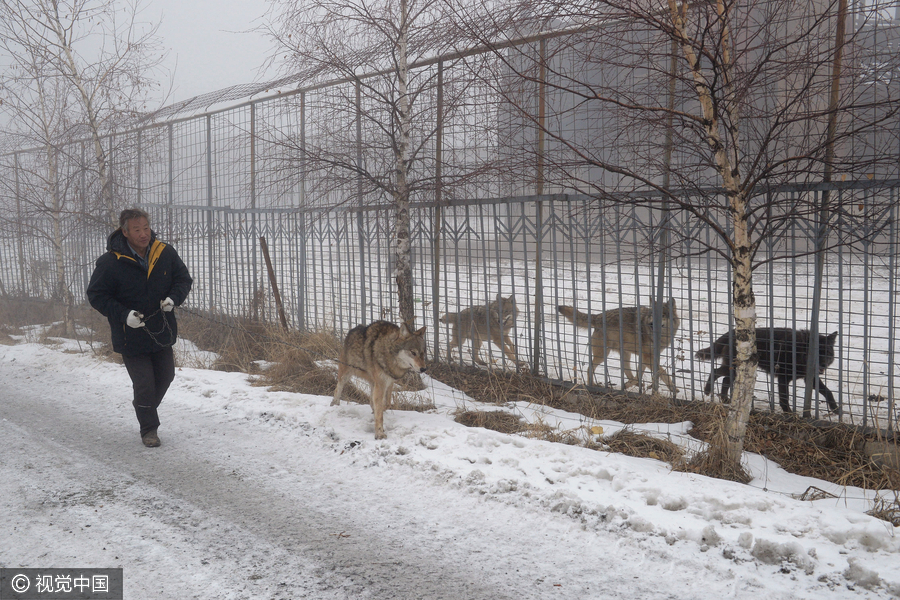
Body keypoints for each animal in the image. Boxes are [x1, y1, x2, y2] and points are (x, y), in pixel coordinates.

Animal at [556, 298, 684, 394]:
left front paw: (631, 384)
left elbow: (639, 375)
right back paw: (592, 385)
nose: (651, 324)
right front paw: (673, 388)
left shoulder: (646, 357)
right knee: (589, 368)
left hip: (625, 355)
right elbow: (663, 372)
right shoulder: (648, 357)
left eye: (662, 315)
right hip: (604, 354)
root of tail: (598, 316)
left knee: (629, 374)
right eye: (652, 315)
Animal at [696, 326, 836, 414]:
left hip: (736, 370)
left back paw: (725, 400)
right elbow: (784, 398)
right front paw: (789, 413)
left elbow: (827, 391)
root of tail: (731, 332)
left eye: (828, 352)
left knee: (725, 379)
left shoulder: (810, 378)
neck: (798, 352)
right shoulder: (783, 378)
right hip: (733, 368)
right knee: (715, 371)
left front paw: (835, 408)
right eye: (817, 353)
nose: (823, 365)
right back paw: (707, 390)